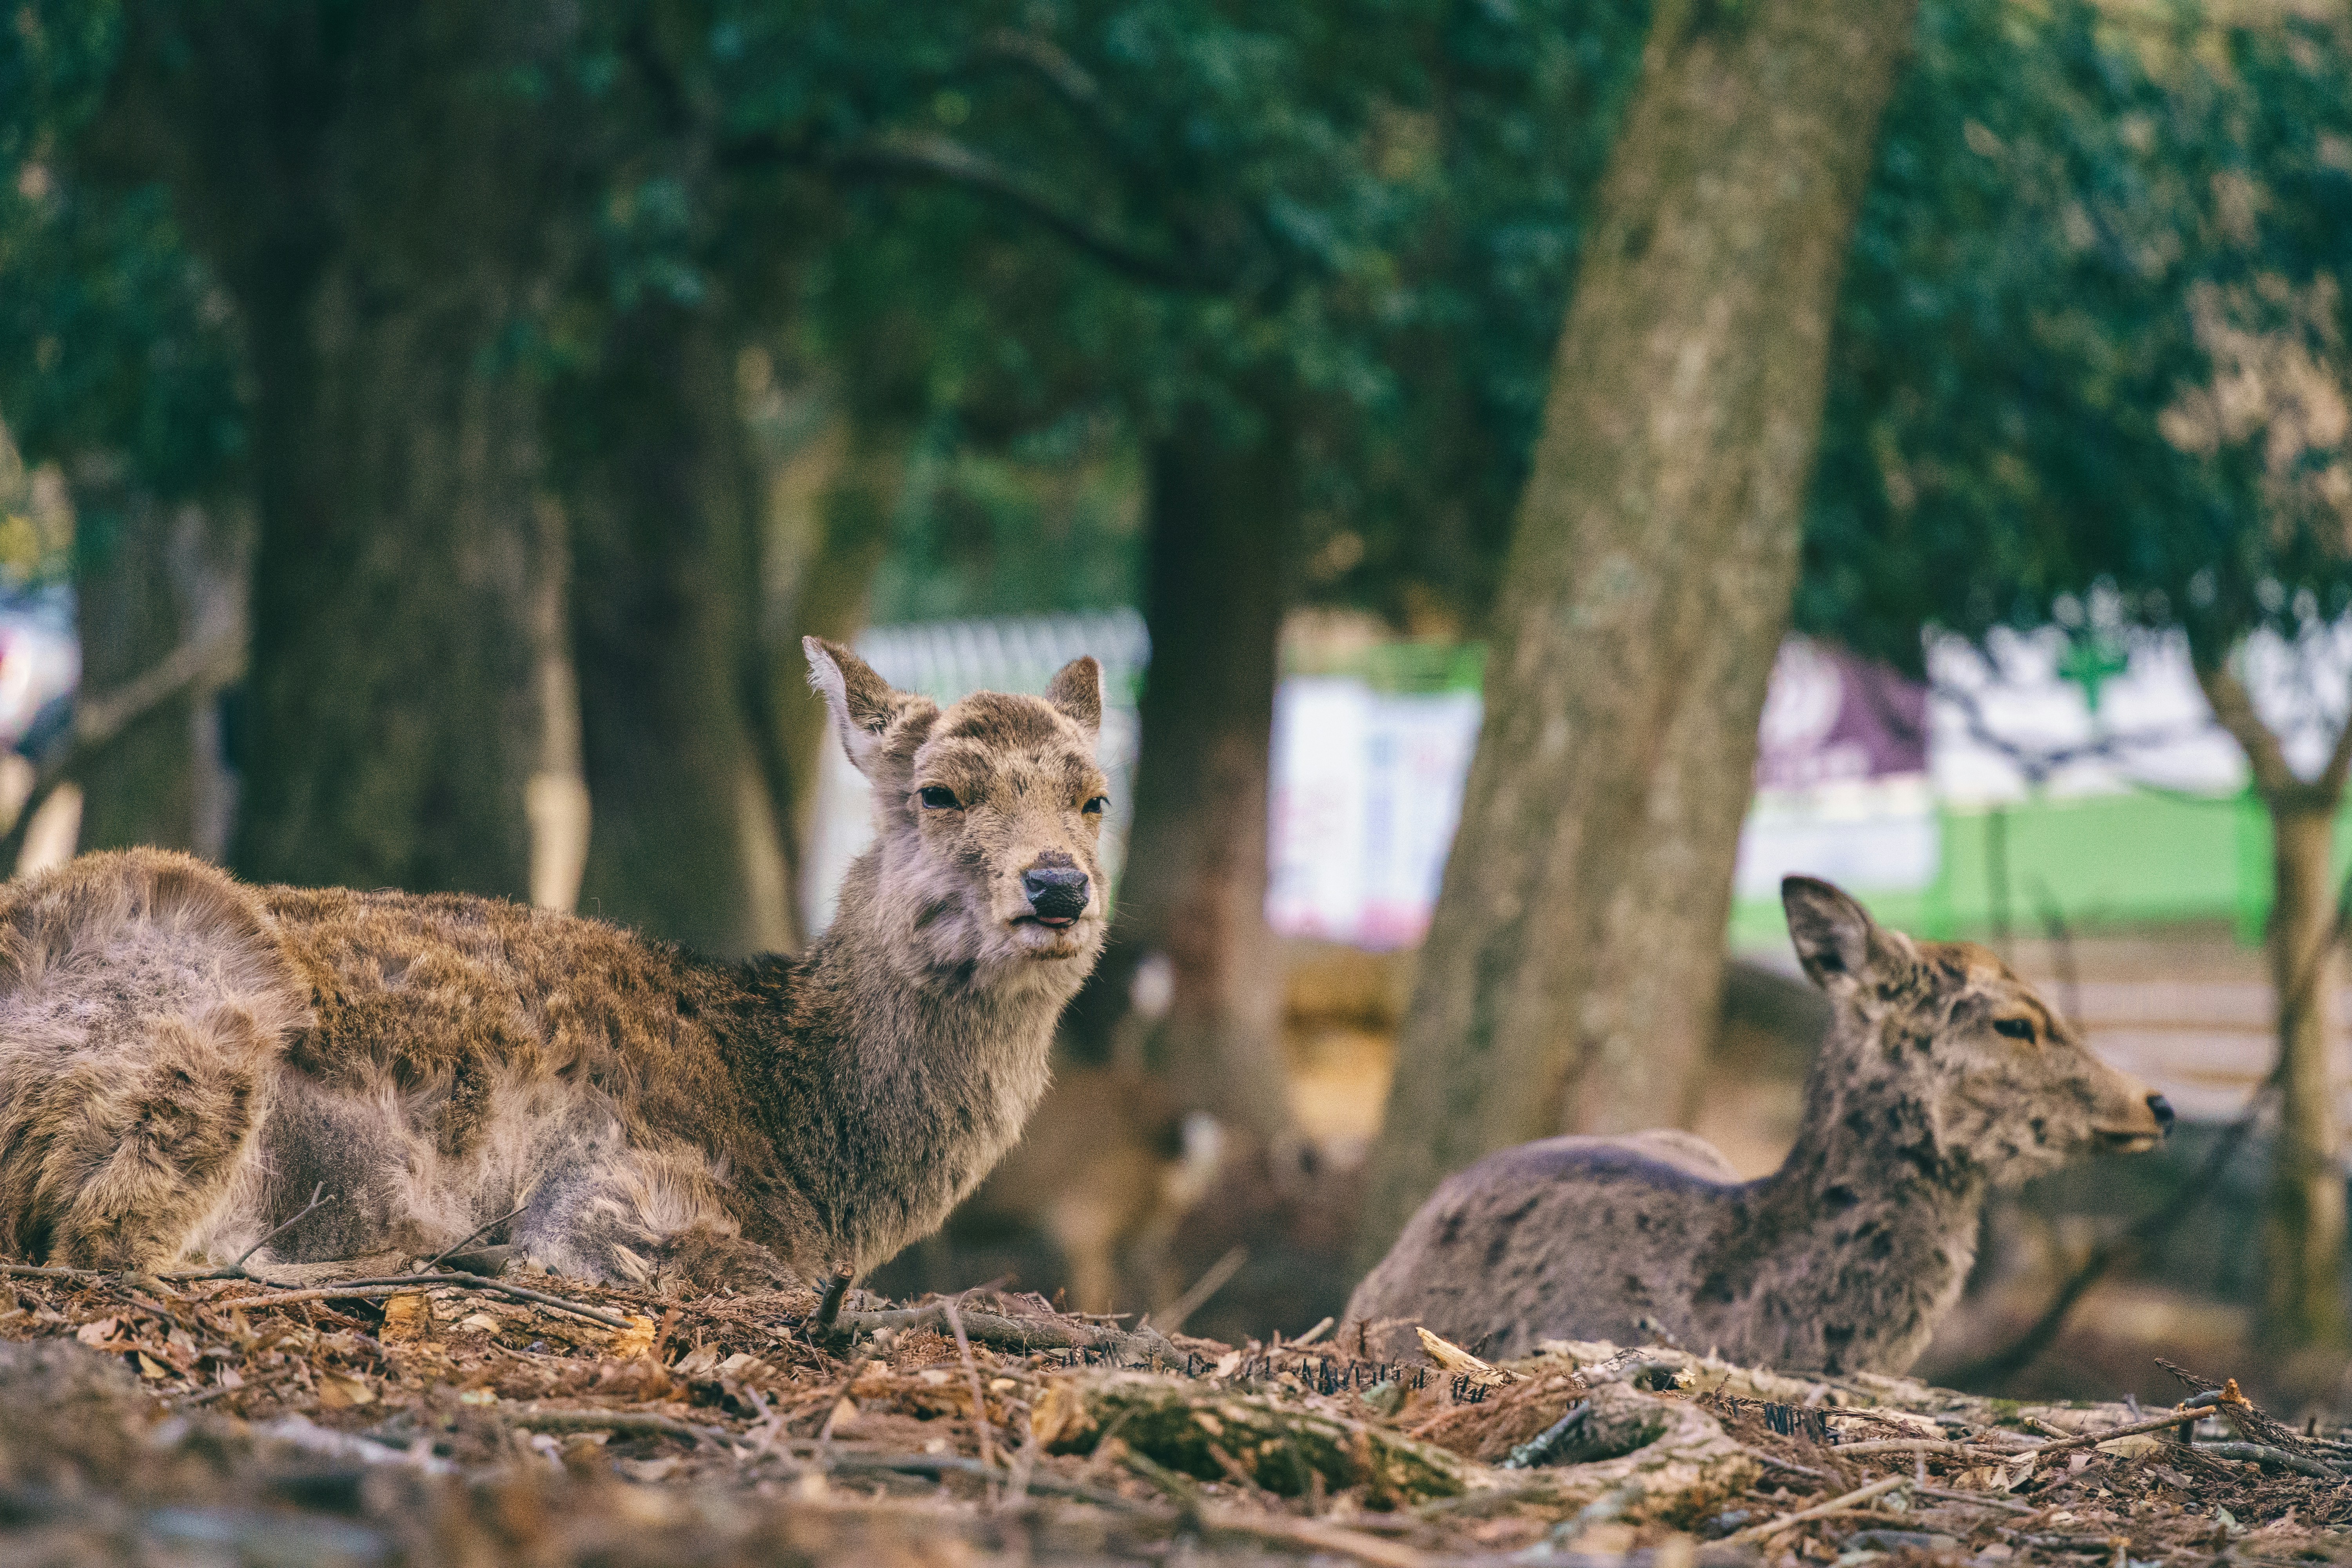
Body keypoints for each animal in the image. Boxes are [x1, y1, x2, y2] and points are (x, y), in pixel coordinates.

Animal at [0, 640, 1112, 1290]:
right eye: (940, 791)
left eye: (1094, 797)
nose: (1059, 886)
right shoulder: (624, 1176)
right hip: (200, 1001)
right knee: (109, 1236)